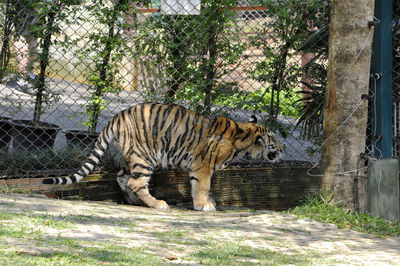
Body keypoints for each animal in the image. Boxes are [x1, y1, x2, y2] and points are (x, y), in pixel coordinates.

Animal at [42, 103, 282, 211]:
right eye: (274, 141)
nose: (281, 150)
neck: (242, 138)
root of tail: (117, 117)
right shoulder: (203, 166)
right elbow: (202, 186)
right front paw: (204, 205)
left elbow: (196, 186)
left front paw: (202, 203)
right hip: (145, 157)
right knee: (136, 182)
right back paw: (157, 204)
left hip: (131, 157)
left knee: (123, 178)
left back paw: (136, 202)